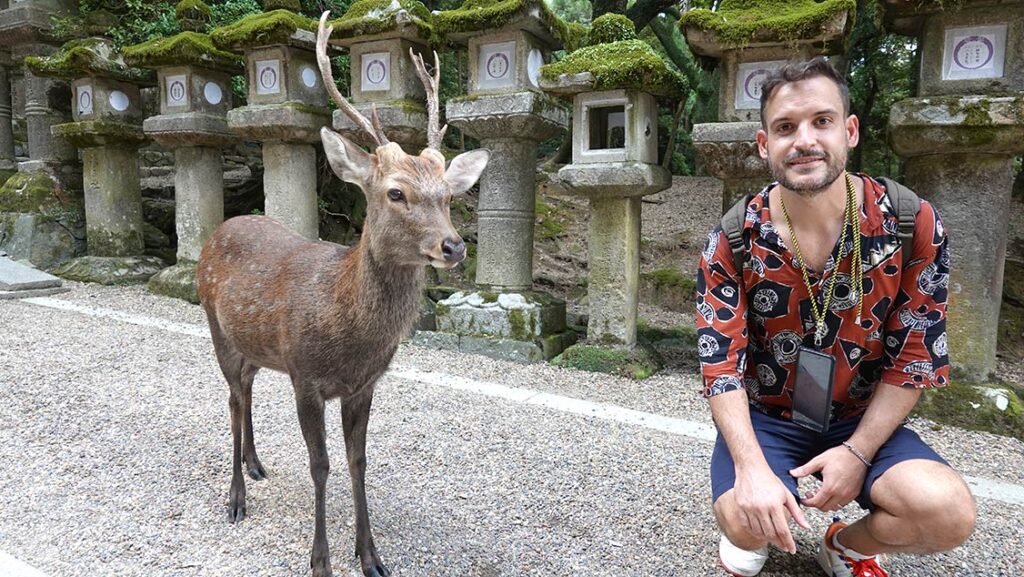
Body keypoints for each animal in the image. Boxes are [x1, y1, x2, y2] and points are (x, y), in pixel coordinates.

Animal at [196, 12, 489, 577]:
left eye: (448, 196)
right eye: (396, 192)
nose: (454, 245)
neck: (347, 335)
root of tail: (220, 228)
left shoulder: (363, 385)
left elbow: (358, 461)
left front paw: (370, 555)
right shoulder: (306, 377)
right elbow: (320, 464)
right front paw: (321, 560)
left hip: (255, 346)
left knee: (247, 392)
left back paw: (256, 464)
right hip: (216, 328)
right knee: (231, 398)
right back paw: (236, 497)